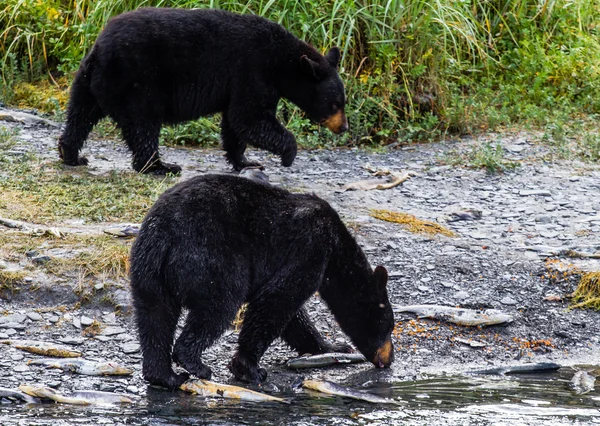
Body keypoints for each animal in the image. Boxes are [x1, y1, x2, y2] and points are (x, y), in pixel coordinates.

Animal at [58, 6, 350, 174]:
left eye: (343, 102)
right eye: (335, 103)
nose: (344, 127)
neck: (282, 62)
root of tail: (99, 49)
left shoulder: (240, 83)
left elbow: (235, 123)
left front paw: (246, 162)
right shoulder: (253, 70)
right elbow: (250, 118)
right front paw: (288, 155)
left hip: (89, 81)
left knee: (80, 115)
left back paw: (71, 155)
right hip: (136, 81)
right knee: (143, 125)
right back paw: (160, 166)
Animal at [129, 175, 396, 388]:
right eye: (388, 326)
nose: (389, 358)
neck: (336, 248)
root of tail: (165, 230)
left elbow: (293, 316)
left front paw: (334, 346)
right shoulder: (311, 246)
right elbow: (278, 300)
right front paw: (248, 368)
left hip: (148, 269)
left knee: (155, 316)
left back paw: (164, 376)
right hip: (210, 256)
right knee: (219, 306)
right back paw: (195, 363)